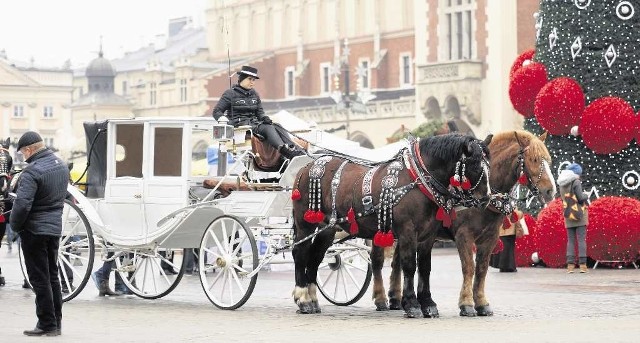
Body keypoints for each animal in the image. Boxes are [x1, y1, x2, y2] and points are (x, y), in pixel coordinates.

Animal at [292, 133, 492, 318]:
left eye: (489, 166)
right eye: (475, 167)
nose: (486, 200)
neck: (418, 180)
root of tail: (306, 166)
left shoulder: (429, 235)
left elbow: (425, 267)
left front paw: (428, 303)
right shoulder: (407, 231)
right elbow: (409, 265)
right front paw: (412, 304)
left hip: (328, 228)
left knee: (315, 257)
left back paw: (313, 299)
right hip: (305, 223)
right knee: (300, 253)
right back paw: (303, 299)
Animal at [370, 130, 556, 318]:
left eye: (548, 160)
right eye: (533, 159)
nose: (551, 190)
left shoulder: (490, 238)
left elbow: (481, 269)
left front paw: (481, 302)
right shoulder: (464, 235)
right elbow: (469, 267)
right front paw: (466, 303)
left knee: (397, 263)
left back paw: (396, 299)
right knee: (377, 261)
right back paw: (381, 299)